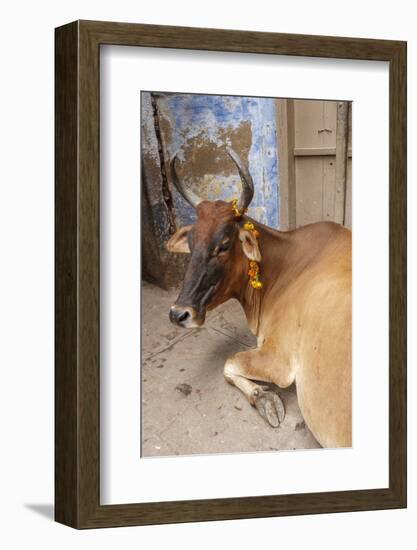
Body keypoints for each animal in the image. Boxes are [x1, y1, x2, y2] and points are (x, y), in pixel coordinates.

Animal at [164, 149, 350, 450]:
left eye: (224, 245)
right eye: (190, 243)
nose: (179, 314)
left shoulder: (278, 359)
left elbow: (229, 363)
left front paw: (263, 398)